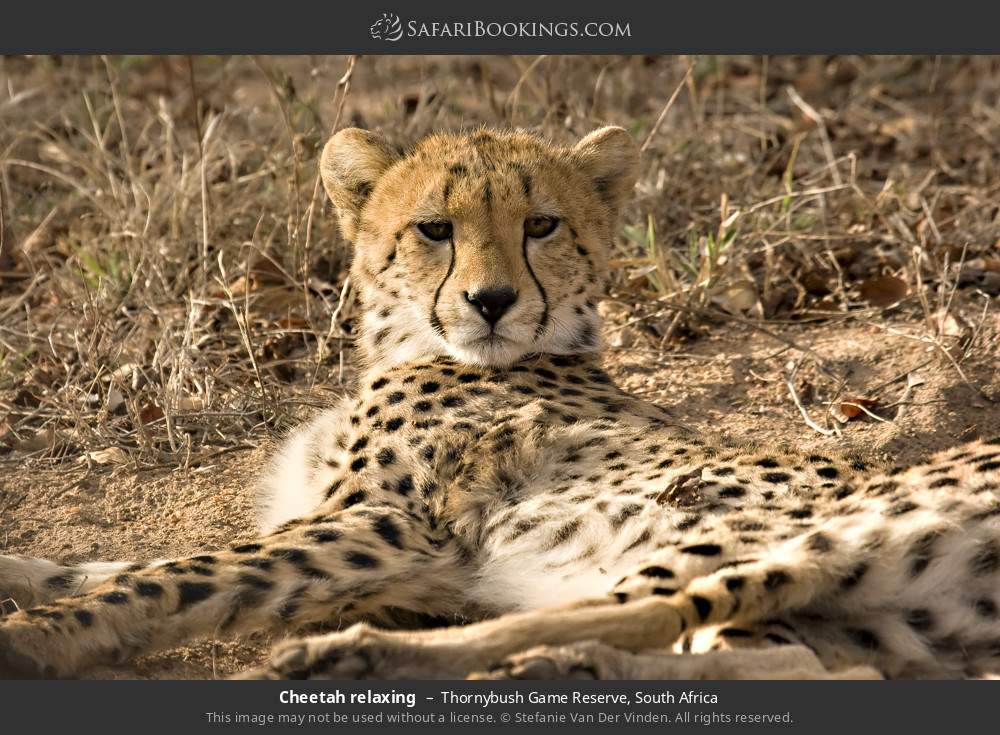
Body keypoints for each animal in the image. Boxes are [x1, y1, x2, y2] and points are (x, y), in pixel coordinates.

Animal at [2, 125, 1000, 681]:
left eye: (541, 225)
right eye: (434, 229)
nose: (491, 301)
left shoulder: (393, 528)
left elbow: (170, 574)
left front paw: (39, 636)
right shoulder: (394, 558)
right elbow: (124, 562)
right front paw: (28, 576)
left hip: (779, 534)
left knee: (639, 612)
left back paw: (387, 658)